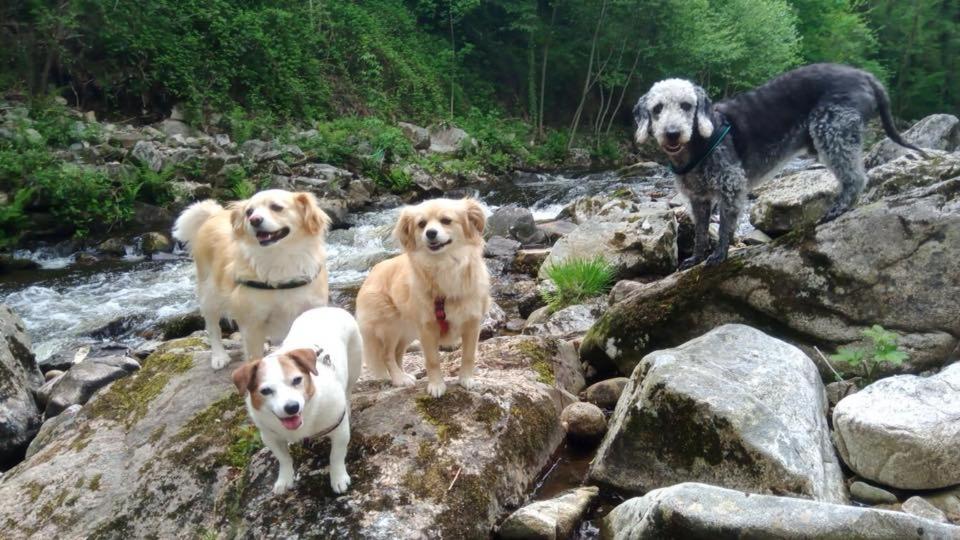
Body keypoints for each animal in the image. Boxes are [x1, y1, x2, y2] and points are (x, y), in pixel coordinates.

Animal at [174, 188, 332, 370]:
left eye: (276, 207)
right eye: (249, 212)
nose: (254, 220)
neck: (280, 258)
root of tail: (214, 214)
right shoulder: (252, 324)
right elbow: (253, 357)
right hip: (209, 294)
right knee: (213, 327)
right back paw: (219, 356)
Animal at [231, 306, 362, 496]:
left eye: (297, 380)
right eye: (265, 391)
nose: (292, 407)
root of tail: (327, 308)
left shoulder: (339, 430)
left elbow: (336, 456)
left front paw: (338, 478)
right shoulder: (270, 436)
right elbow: (284, 458)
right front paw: (285, 479)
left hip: (354, 367)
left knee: (348, 391)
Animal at [356, 197, 492, 396]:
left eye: (446, 220)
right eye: (421, 224)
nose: (431, 233)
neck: (444, 264)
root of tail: (373, 271)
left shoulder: (472, 324)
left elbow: (468, 355)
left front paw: (466, 380)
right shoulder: (427, 328)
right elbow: (433, 360)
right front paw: (436, 385)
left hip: (407, 330)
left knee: (398, 353)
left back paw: (404, 376)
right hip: (390, 326)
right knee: (387, 355)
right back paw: (399, 379)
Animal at [632, 62, 928, 268]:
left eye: (686, 105)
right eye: (657, 108)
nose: (672, 133)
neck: (699, 143)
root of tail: (864, 76)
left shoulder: (731, 186)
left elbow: (726, 226)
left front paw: (719, 255)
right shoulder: (699, 199)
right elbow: (701, 233)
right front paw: (696, 258)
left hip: (833, 131)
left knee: (856, 178)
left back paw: (838, 209)